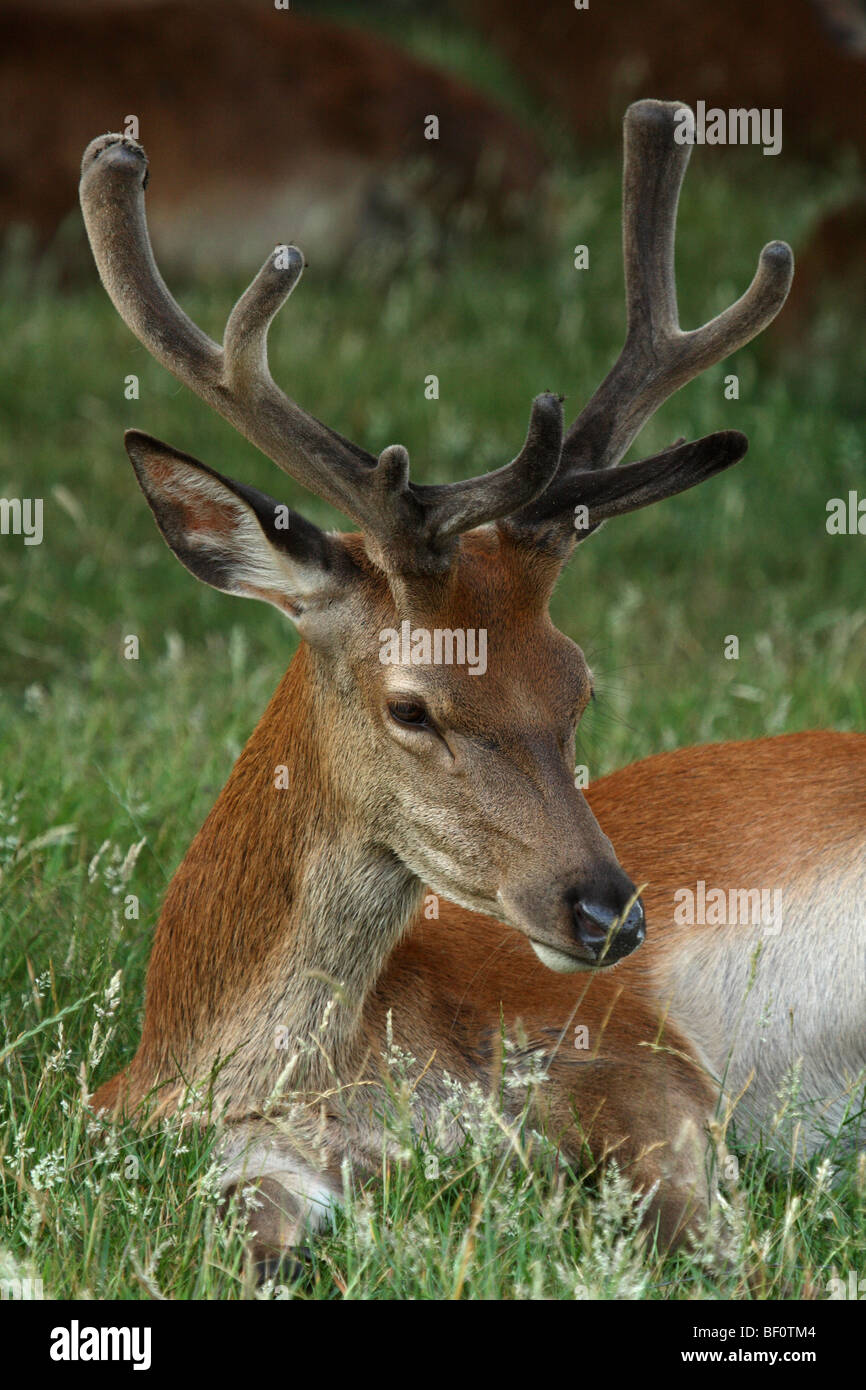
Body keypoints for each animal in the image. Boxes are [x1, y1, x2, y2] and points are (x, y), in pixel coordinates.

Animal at [78, 99, 866, 1274]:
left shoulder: (627, 1044)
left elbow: (704, 1238)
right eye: (412, 705)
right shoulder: (245, 1153)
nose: (609, 916)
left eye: (578, 684)